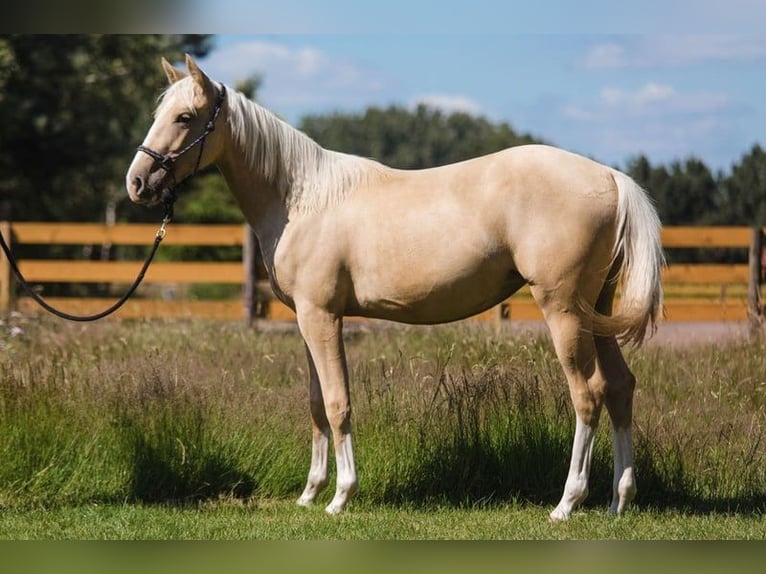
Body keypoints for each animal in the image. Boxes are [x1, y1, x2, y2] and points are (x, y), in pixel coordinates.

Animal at [126, 54, 664, 521]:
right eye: (158, 113)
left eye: (185, 117)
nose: (137, 183)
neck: (302, 199)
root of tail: (610, 177)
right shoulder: (306, 321)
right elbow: (317, 405)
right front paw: (309, 494)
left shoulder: (322, 317)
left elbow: (338, 403)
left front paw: (340, 497)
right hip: (596, 312)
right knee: (620, 387)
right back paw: (619, 501)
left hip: (564, 311)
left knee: (587, 394)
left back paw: (567, 504)